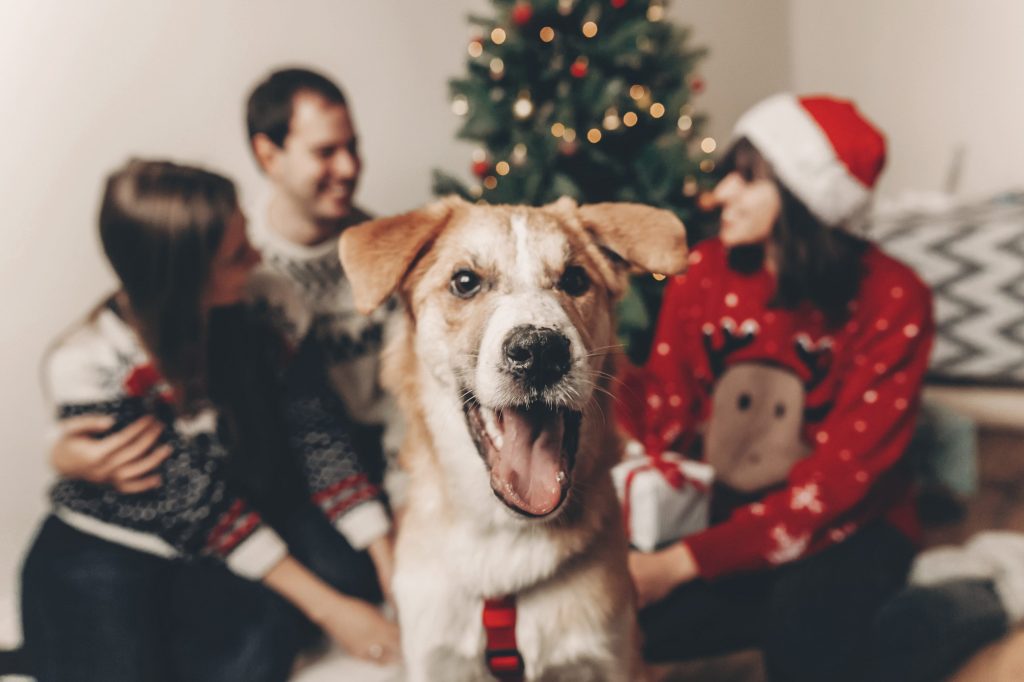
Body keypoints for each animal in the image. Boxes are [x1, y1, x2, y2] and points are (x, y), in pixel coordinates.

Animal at [337, 193, 688, 675]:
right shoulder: (434, 661)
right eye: (465, 281)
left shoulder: (615, 660)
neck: (506, 541)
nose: (540, 352)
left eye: (576, 278)